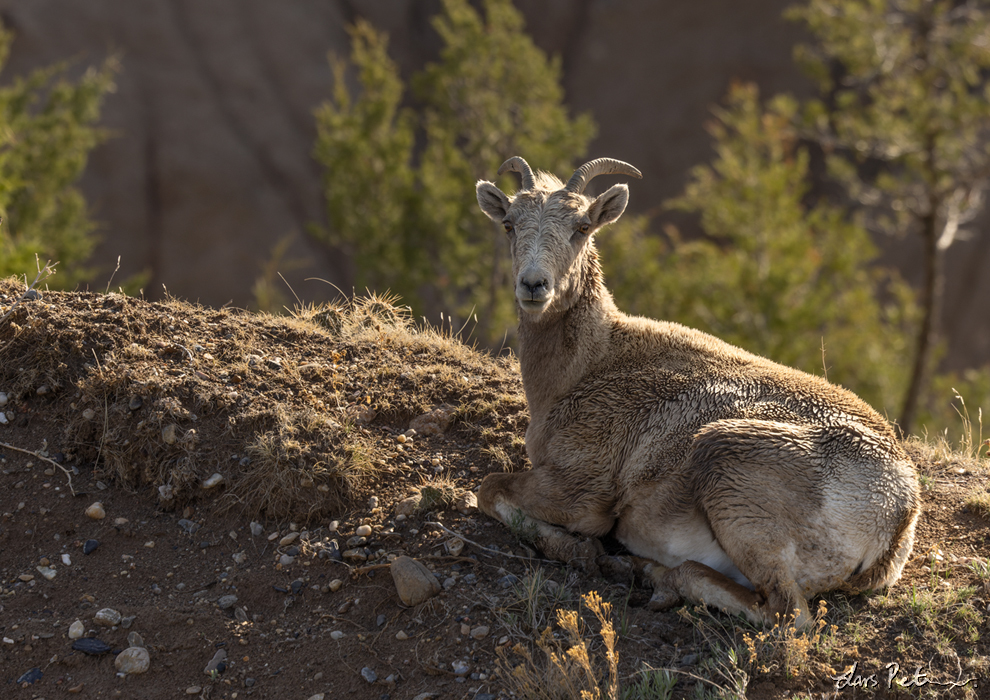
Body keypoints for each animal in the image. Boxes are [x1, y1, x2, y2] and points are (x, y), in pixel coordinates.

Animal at [474, 156, 924, 628]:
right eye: (508, 223)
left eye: (582, 226)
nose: (534, 285)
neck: (592, 363)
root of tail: (898, 513)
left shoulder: (580, 489)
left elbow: (490, 489)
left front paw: (583, 551)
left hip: (730, 470)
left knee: (785, 612)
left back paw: (650, 573)